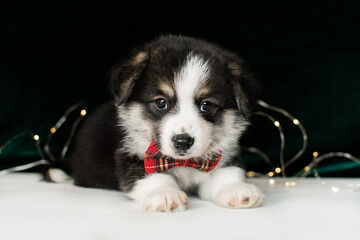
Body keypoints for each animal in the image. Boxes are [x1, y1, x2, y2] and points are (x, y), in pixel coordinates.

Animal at [69, 35, 264, 212]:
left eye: (206, 105)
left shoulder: (222, 155)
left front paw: (237, 189)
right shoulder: (130, 155)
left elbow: (225, 173)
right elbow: (151, 176)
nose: (183, 142)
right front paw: (165, 194)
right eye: (161, 102)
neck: (183, 163)